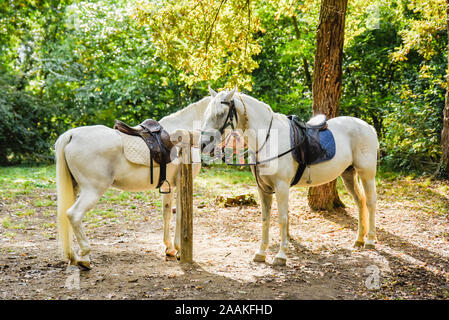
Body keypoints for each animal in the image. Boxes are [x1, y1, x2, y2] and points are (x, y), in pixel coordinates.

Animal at [55, 97, 209, 268]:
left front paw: (169, 248)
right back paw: (84, 258)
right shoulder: (183, 184)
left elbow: (167, 213)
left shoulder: (169, 186)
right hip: (93, 191)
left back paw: (73, 256)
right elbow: (180, 215)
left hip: (75, 187)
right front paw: (179, 250)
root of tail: (72, 134)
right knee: (74, 215)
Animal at [200, 86, 378, 266]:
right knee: (360, 202)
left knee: (370, 202)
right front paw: (261, 253)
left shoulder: (281, 186)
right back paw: (359, 240)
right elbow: (265, 218)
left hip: (367, 173)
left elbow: (282, 219)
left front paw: (281, 256)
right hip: (348, 174)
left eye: (221, 114)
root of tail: (367, 126)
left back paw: (370, 241)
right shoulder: (263, 188)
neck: (268, 140)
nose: (203, 145)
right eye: (206, 113)